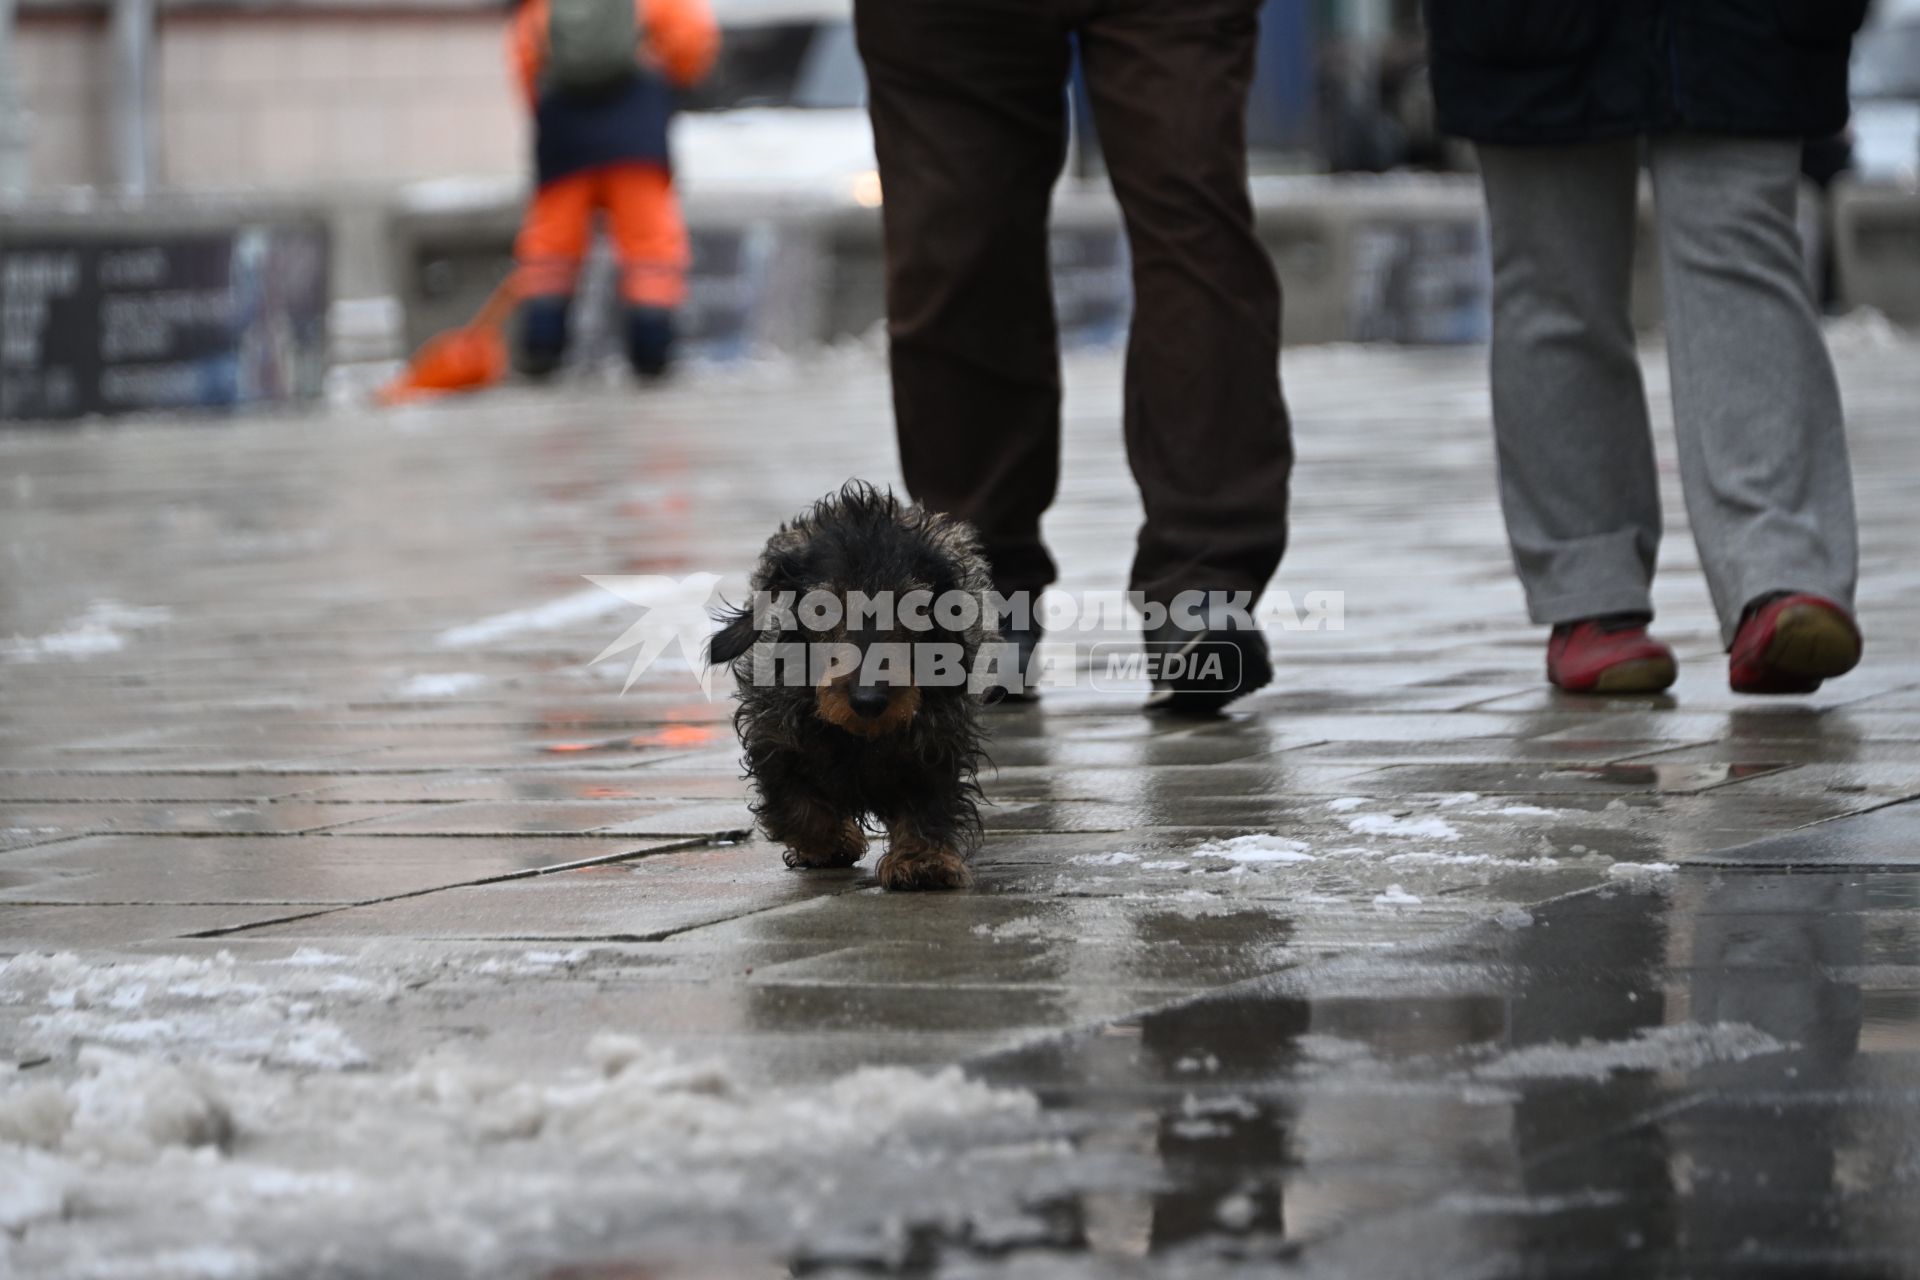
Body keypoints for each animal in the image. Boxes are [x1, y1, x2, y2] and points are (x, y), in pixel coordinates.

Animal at [710, 479, 1006, 890]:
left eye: (915, 608)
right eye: (821, 608)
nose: (869, 700)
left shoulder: (937, 739)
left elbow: (928, 796)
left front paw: (921, 860)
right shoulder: (774, 737)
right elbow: (796, 803)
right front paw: (830, 842)